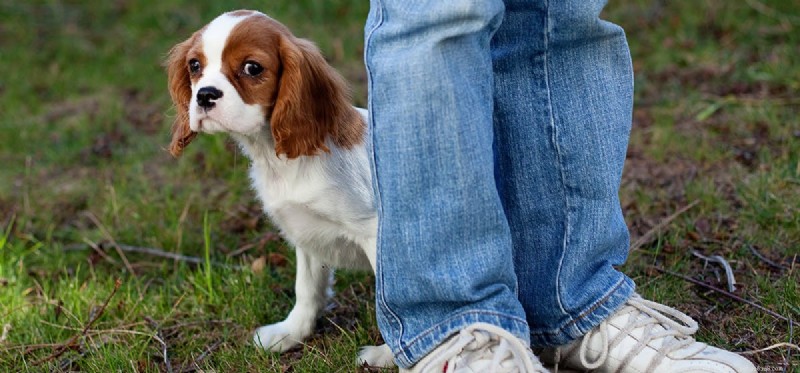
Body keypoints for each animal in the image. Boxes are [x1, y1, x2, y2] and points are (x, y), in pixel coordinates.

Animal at [165, 8, 394, 366]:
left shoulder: (374, 233)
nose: (204, 95)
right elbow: (307, 289)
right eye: (194, 65)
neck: (276, 157)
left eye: (252, 68)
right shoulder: (308, 235)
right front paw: (290, 334)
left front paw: (390, 356)